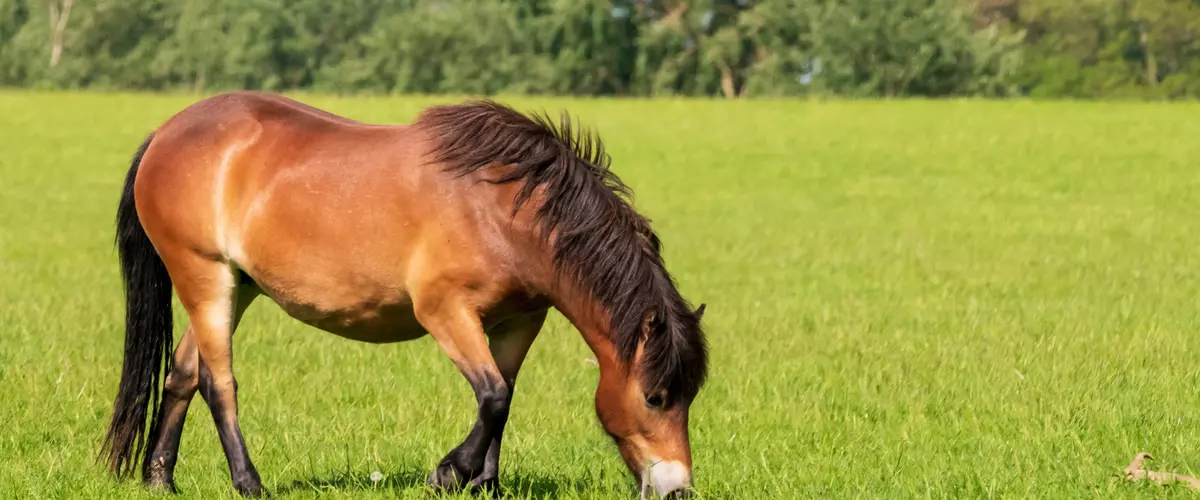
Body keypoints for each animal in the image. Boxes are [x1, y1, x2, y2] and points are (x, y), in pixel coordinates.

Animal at [98, 91, 709, 499]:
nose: (678, 488)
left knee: (182, 374)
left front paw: (485, 484)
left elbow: (504, 398)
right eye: (656, 397)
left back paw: (160, 479)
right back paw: (249, 484)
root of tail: (165, 133)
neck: (505, 210)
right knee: (217, 384)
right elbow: (493, 396)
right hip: (204, 277)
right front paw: (447, 474)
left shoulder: (519, 322)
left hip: (236, 286)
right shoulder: (445, 312)